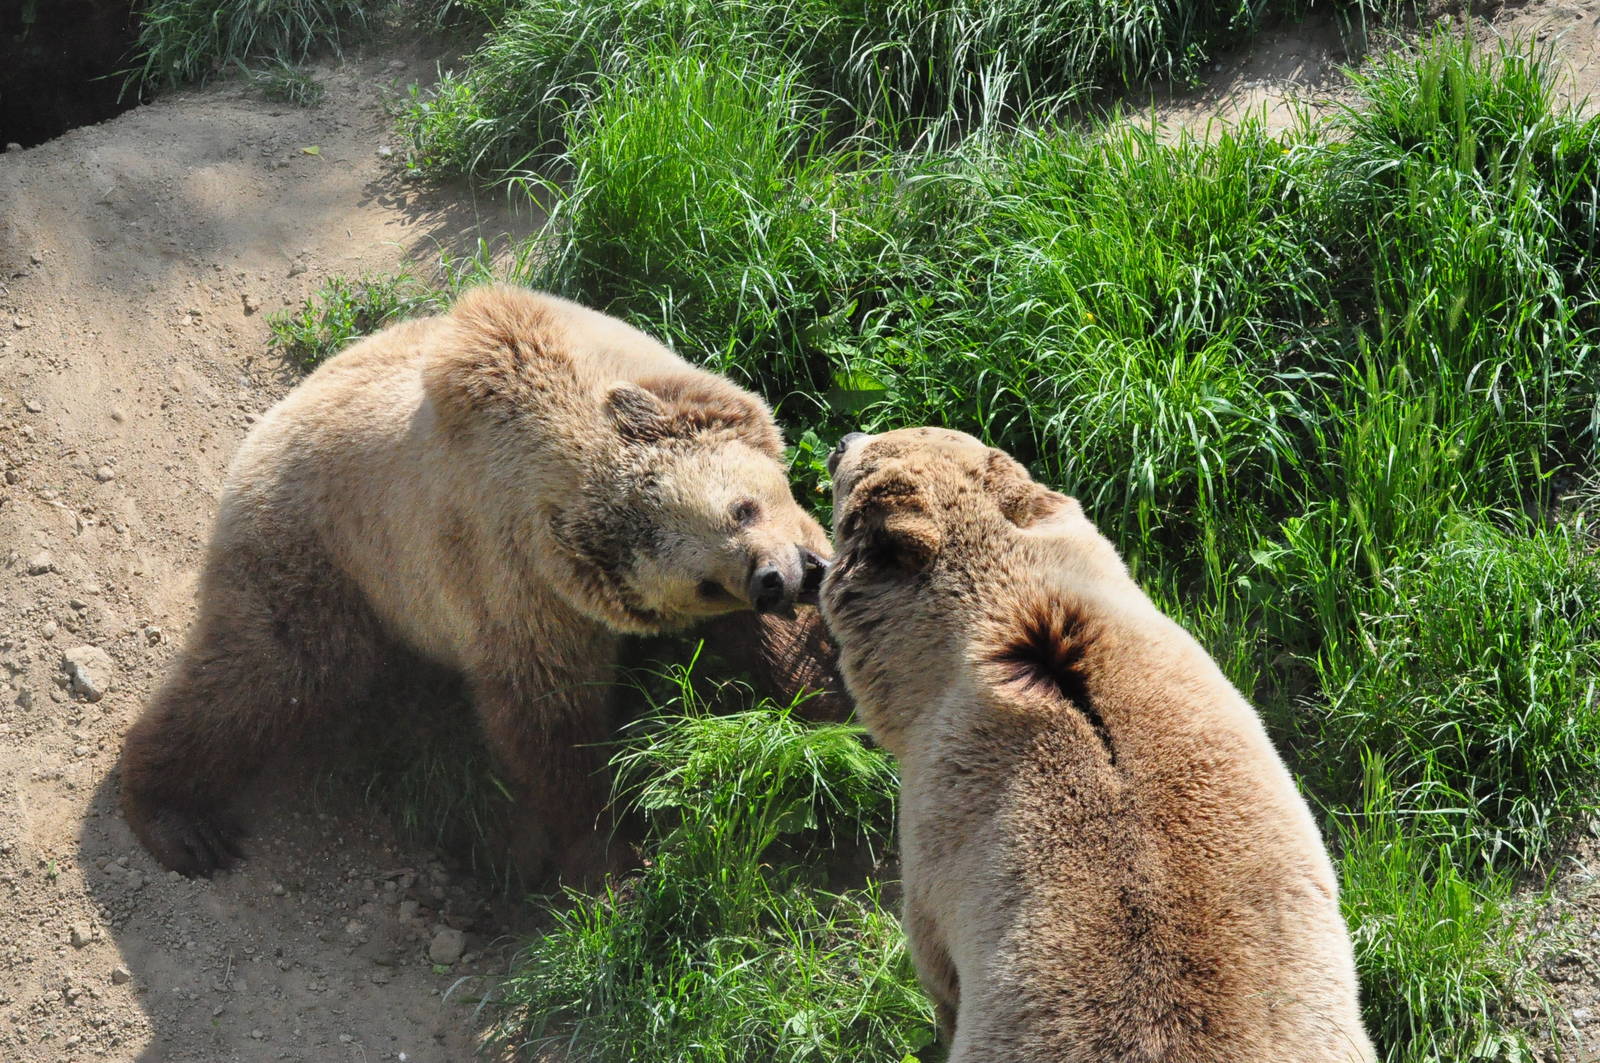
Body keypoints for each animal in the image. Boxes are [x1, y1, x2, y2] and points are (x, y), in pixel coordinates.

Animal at [119, 284, 844, 885]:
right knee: (262, 676)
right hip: (327, 560)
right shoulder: (515, 587)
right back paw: (178, 818)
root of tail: (266, 423)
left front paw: (827, 687)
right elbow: (548, 726)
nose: (777, 579)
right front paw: (610, 862)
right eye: (705, 577)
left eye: (741, 509)